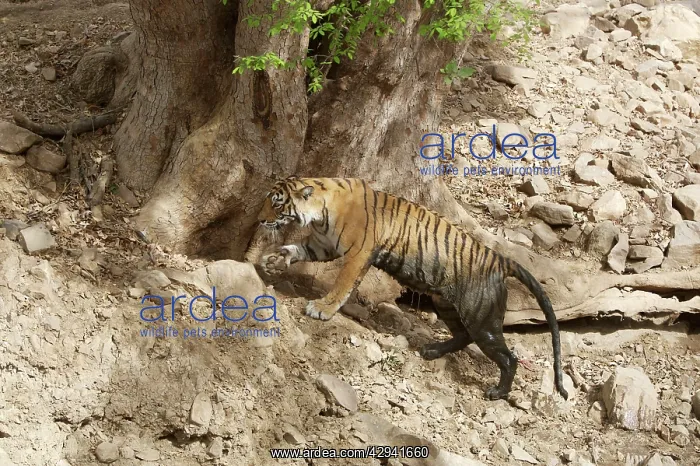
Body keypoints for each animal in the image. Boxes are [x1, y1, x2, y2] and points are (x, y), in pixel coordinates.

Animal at [254, 176, 568, 401]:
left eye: (277, 204)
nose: (260, 220)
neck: (321, 211)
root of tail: (500, 259)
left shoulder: (357, 254)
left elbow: (342, 283)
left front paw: (322, 308)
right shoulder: (322, 245)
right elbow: (296, 249)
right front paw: (274, 259)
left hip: (483, 319)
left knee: (508, 357)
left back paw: (497, 392)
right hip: (446, 303)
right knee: (463, 335)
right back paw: (432, 350)